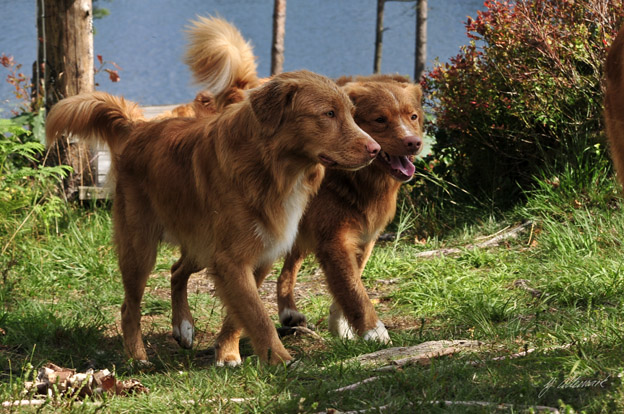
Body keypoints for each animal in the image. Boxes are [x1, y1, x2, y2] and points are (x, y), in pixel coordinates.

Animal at [45, 71, 380, 366]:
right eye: (328, 114)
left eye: (352, 114)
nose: (376, 149)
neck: (271, 168)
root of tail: (138, 127)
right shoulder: (231, 259)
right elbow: (258, 316)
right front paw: (282, 361)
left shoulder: (258, 255)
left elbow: (239, 314)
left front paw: (227, 353)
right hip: (141, 248)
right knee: (130, 306)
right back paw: (137, 356)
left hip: (202, 245)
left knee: (177, 270)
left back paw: (183, 326)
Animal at [179, 16, 424, 346]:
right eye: (380, 120)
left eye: (413, 116)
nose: (414, 143)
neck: (354, 181)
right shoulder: (334, 240)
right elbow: (354, 289)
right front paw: (374, 332)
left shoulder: (362, 238)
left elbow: (348, 286)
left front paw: (343, 327)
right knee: (180, 268)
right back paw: (184, 327)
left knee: (287, 269)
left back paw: (288, 313)